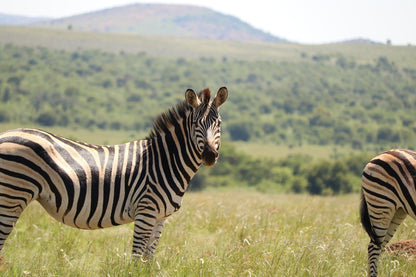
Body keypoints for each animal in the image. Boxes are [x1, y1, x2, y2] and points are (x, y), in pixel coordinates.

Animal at [0, 86, 228, 258]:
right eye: (196, 124)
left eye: (218, 123)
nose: (209, 155)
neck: (165, 161)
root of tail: (6, 134)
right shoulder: (146, 211)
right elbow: (136, 258)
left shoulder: (160, 217)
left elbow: (148, 259)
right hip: (12, 196)